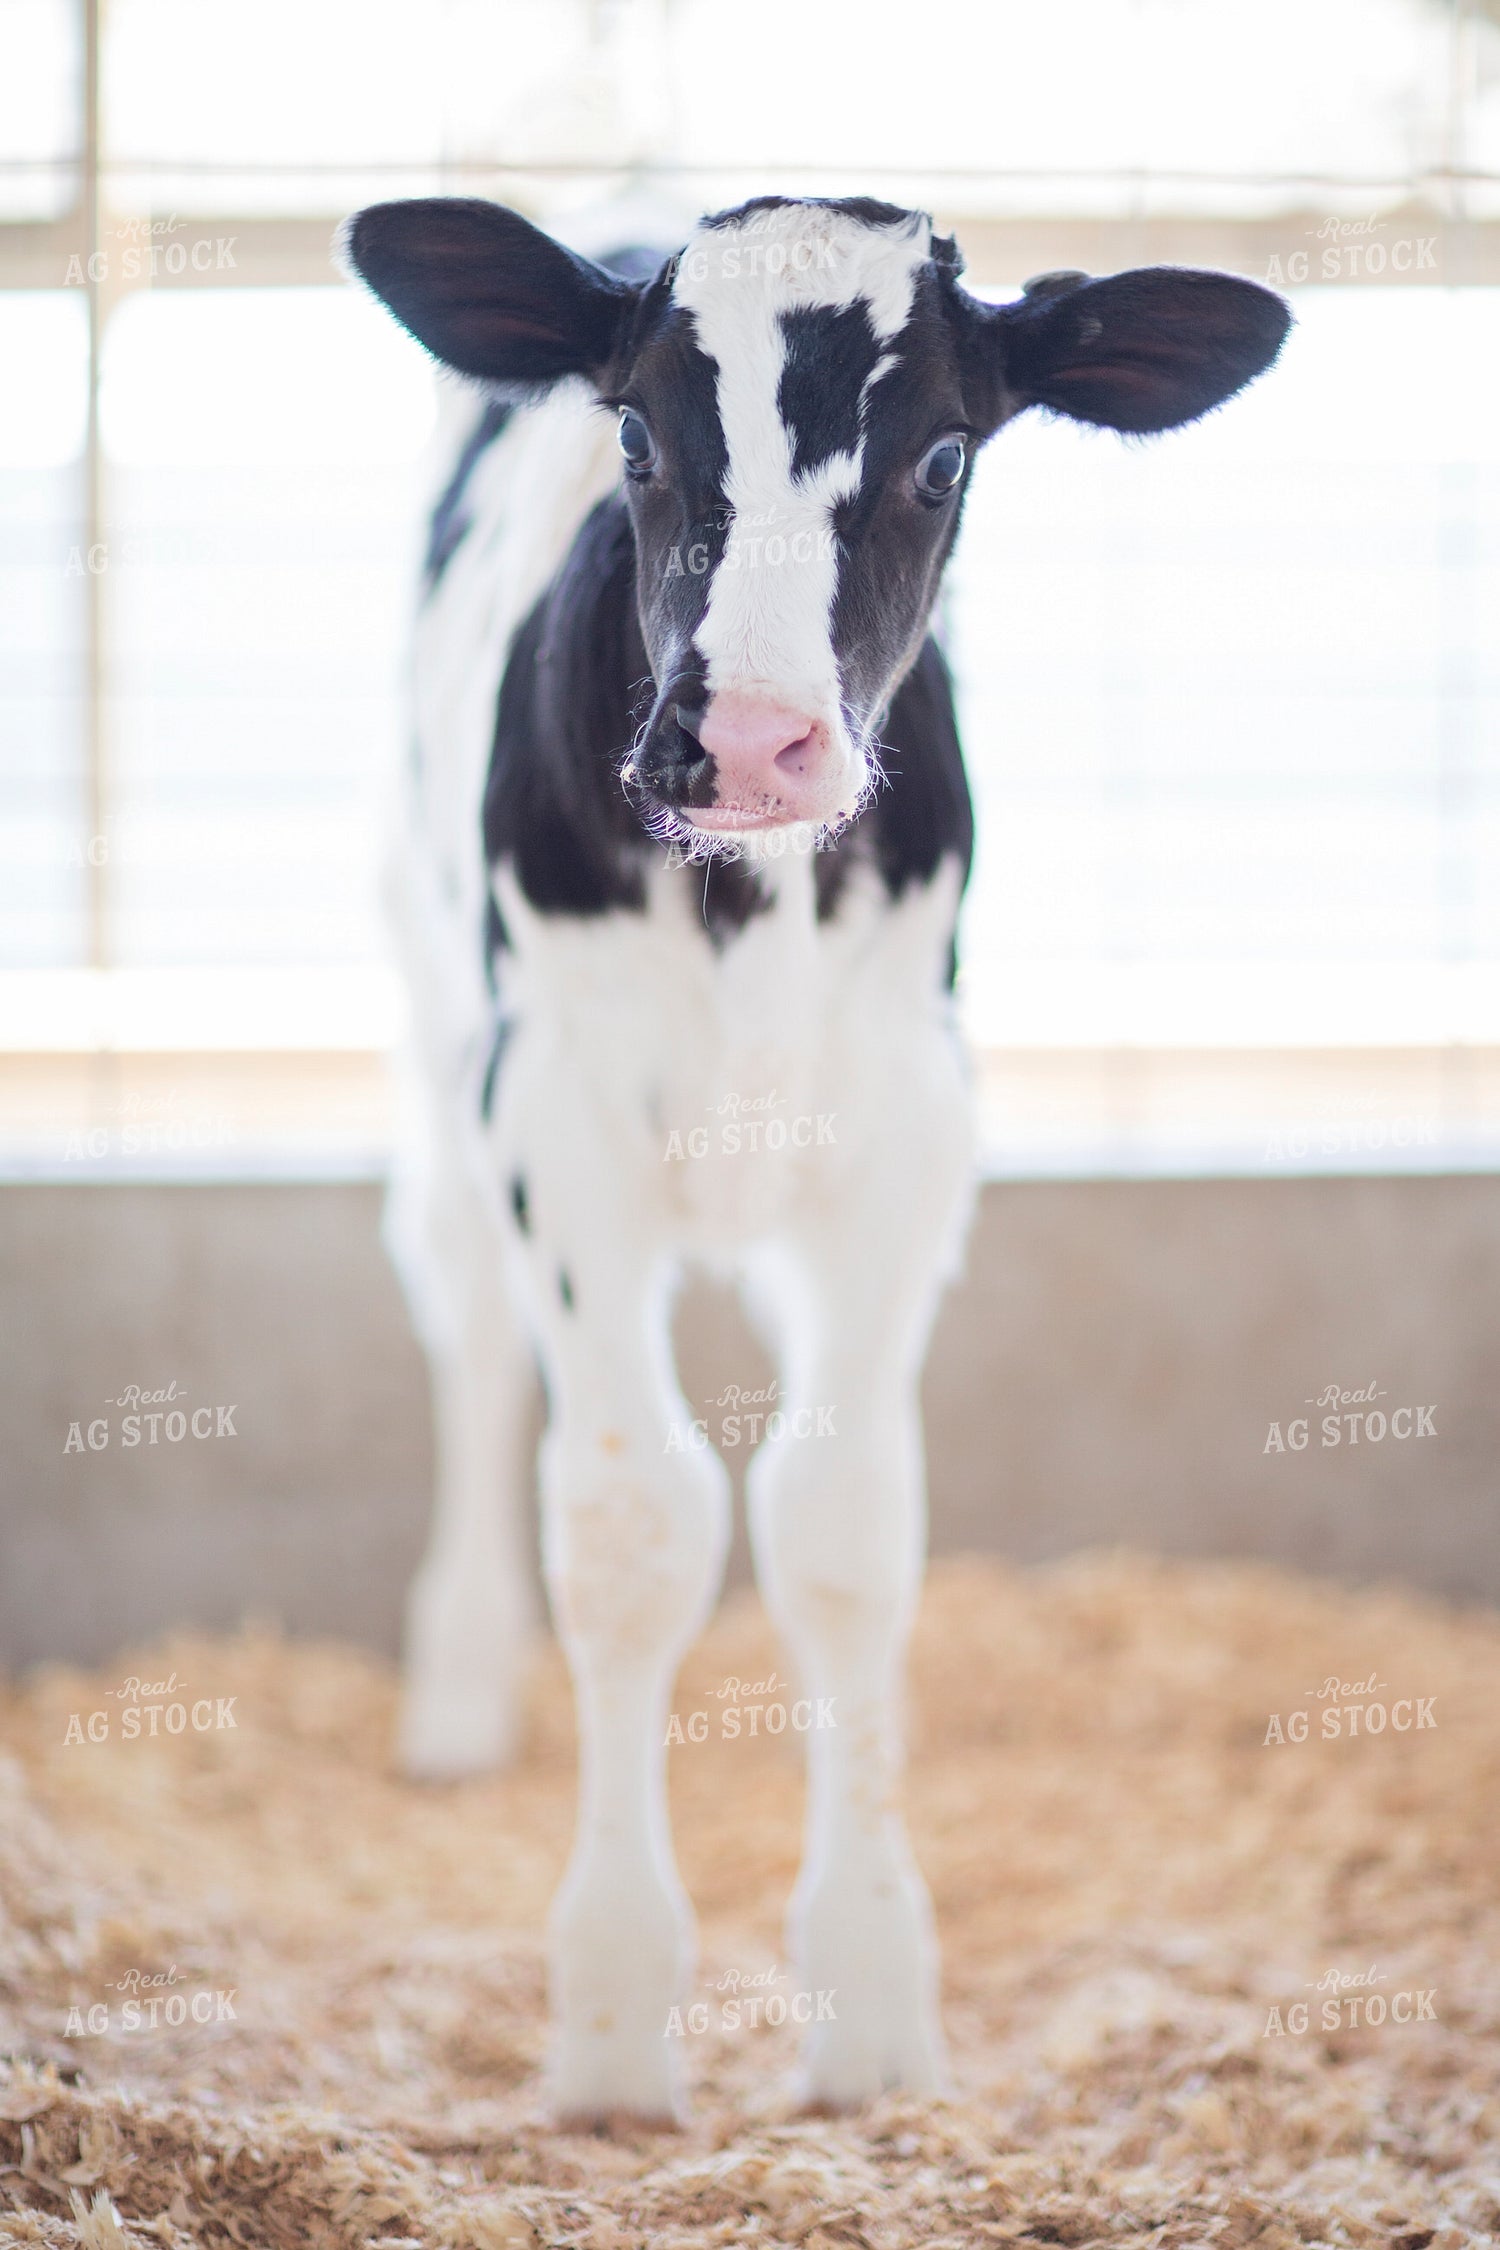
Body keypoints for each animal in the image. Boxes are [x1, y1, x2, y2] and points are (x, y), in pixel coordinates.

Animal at [342, 192, 1289, 2127]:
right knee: (464, 1320)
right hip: (433, 1015)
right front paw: (613, 2012)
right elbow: (631, 1523)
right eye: (637, 434)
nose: (752, 741)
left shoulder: (906, 1135)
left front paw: (870, 1989)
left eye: (945, 454)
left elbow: (842, 1526)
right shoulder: (553, 1114)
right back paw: (461, 1680)